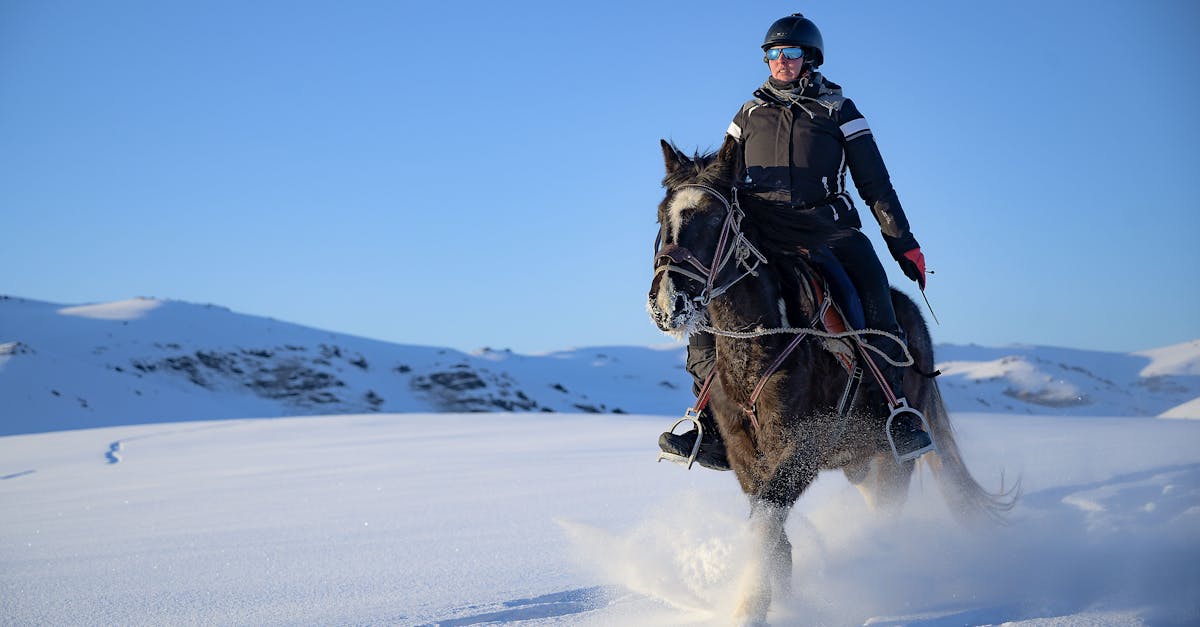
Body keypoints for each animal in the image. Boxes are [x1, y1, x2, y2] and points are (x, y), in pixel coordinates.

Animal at [648, 135, 1012, 619]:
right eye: (662, 217)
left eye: (716, 218)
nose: (667, 301)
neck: (762, 344)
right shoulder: (744, 453)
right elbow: (768, 523)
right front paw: (779, 597)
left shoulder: (806, 442)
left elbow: (768, 518)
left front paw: (751, 607)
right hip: (858, 460)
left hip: (893, 453)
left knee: (888, 508)